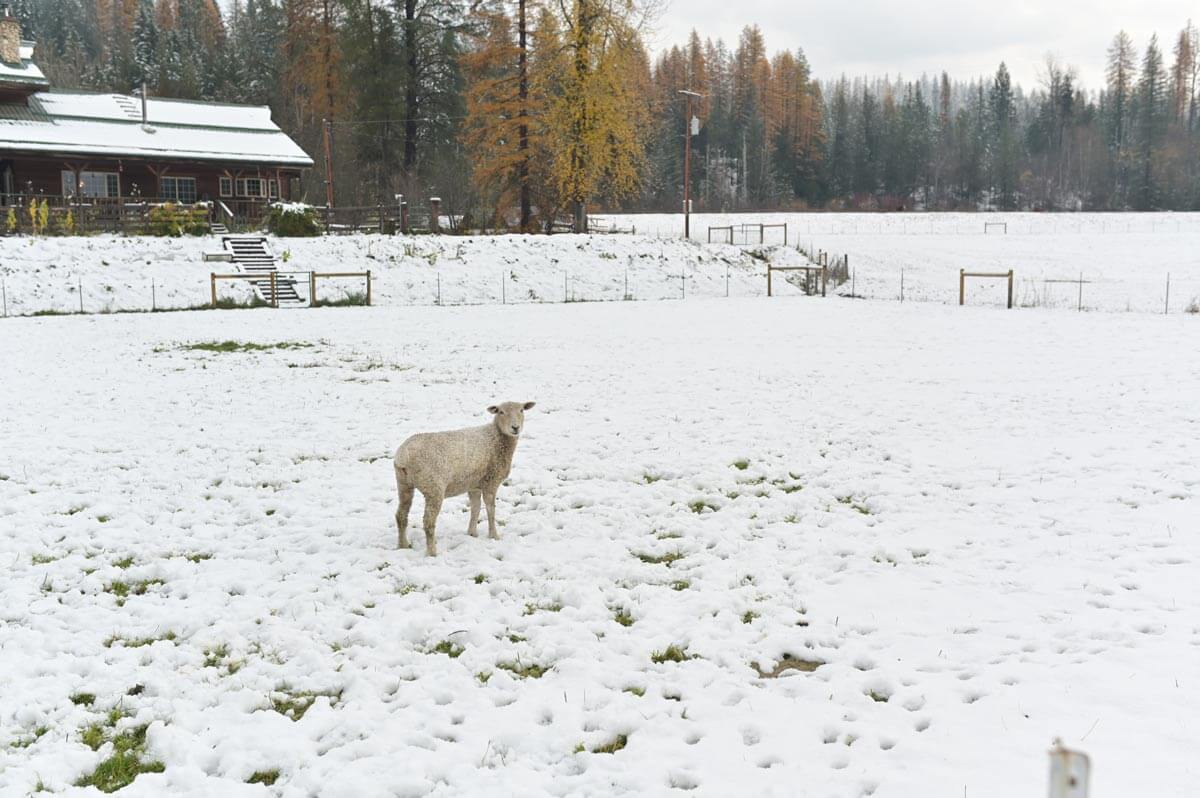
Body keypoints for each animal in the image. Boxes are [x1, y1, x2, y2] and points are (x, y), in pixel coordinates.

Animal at [393, 401, 535, 556]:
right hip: (433, 487)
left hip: (404, 484)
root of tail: (403, 456)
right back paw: (432, 552)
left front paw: (472, 533)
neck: (496, 436)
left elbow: (475, 508)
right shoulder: (491, 480)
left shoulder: (474, 483)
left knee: (401, 515)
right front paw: (494, 535)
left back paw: (403, 545)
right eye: (501, 412)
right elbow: (490, 510)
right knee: (428, 521)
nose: (515, 427)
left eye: (521, 410)